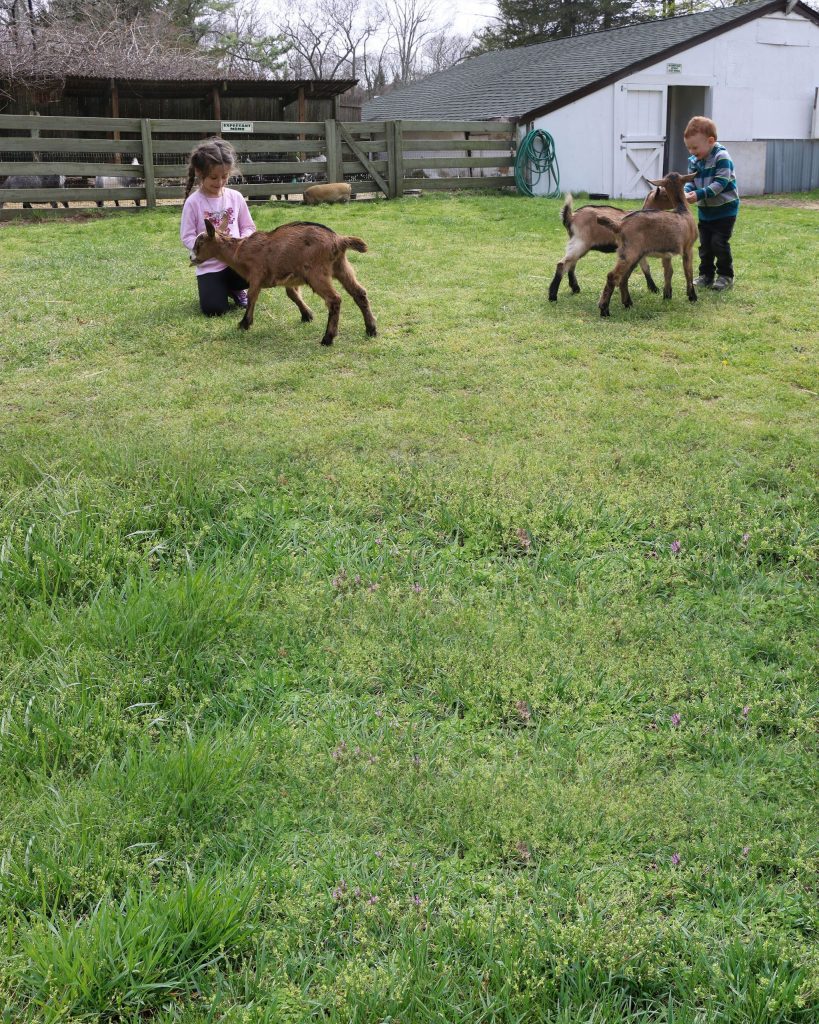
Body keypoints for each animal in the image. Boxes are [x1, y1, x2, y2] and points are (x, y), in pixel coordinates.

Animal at [189, 216, 376, 344]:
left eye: (200, 243)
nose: (191, 257)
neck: (239, 251)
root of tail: (339, 239)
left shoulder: (256, 274)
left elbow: (252, 297)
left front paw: (244, 324)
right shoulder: (289, 279)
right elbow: (292, 294)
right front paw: (307, 315)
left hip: (317, 273)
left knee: (334, 299)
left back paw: (328, 339)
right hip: (341, 266)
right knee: (359, 293)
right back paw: (371, 330)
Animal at [593, 172, 696, 317]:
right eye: (664, 194)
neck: (682, 209)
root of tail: (619, 225)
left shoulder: (667, 254)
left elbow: (668, 272)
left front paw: (667, 296)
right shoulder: (688, 248)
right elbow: (688, 272)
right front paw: (692, 297)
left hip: (632, 254)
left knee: (623, 278)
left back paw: (628, 303)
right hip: (631, 253)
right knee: (613, 276)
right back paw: (604, 309)